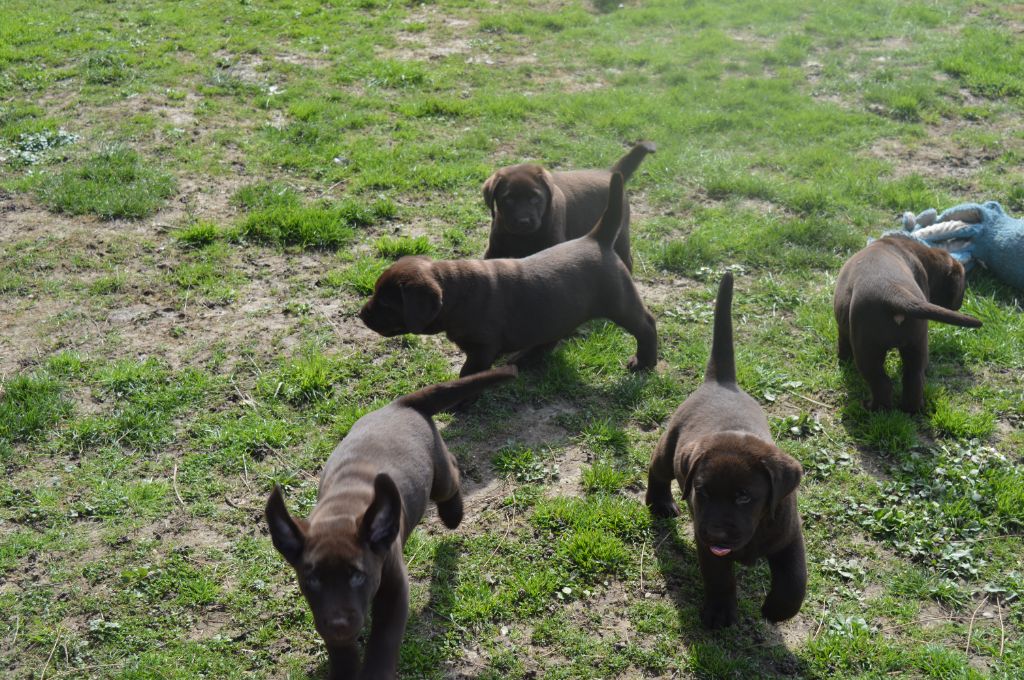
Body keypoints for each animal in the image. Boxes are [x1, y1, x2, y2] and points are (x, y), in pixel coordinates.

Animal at [266, 368, 516, 675]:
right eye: (312, 579)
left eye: (358, 576)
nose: (338, 625)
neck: (341, 509)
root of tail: (400, 404)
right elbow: (342, 649)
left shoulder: (395, 590)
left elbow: (383, 641)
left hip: (439, 479)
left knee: (452, 471)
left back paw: (453, 514)